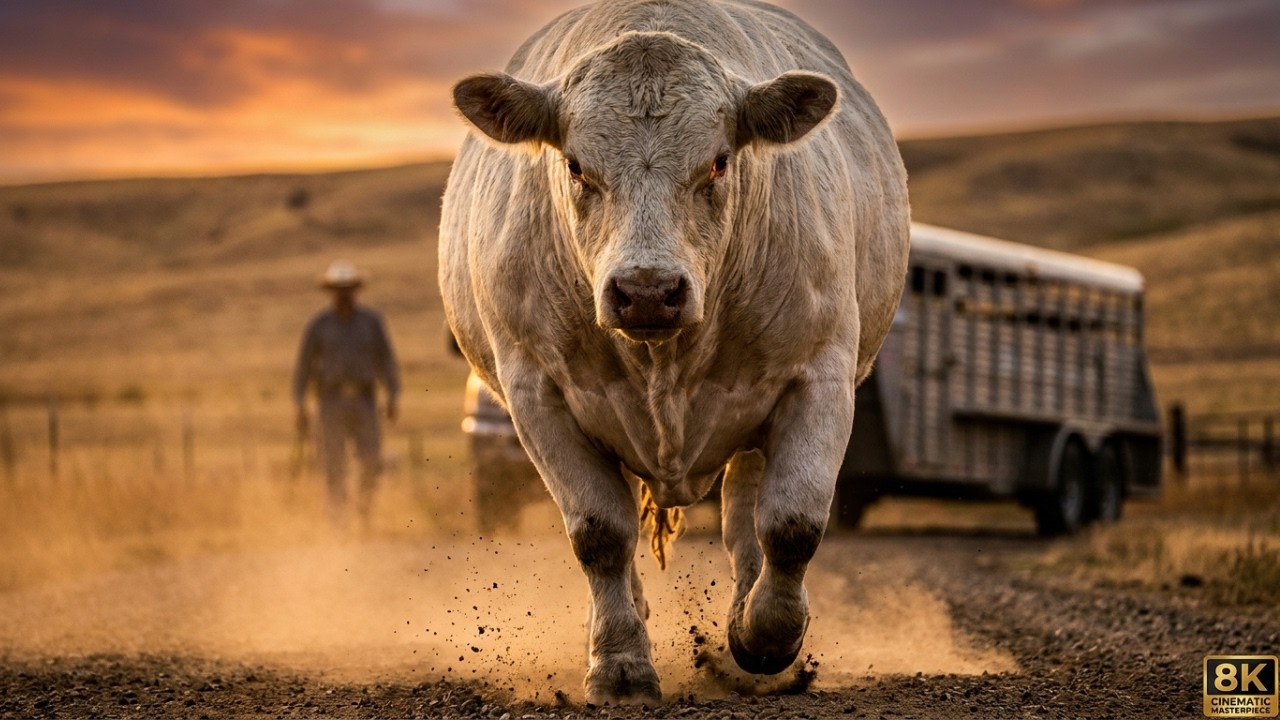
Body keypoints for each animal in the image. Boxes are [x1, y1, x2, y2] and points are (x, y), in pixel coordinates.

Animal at [439, 0, 909, 705]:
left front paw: (767, 639)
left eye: (718, 162)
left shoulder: (820, 374)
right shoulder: (536, 392)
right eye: (575, 166)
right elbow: (600, 533)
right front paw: (619, 664)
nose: (647, 292)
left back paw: (745, 616)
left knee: (745, 514)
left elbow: (792, 522)